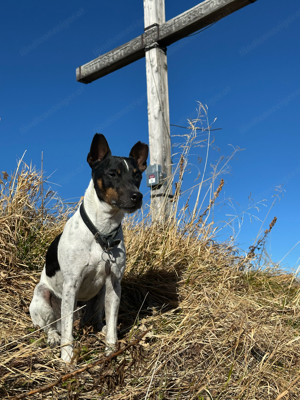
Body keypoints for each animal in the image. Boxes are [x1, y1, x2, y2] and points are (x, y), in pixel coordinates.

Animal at [29, 134, 149, 362]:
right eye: (112, 174)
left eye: (137, 176)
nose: (137, 196)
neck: (102, 232)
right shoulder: (71, 285)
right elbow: (68, 331)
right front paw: (67, 357)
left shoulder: (114, 283)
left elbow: (112, 322)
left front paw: (111, 349)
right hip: (42, 297)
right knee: (52, 326)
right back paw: (54, 337)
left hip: (100, 295)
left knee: (94, 319)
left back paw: (98, 328)